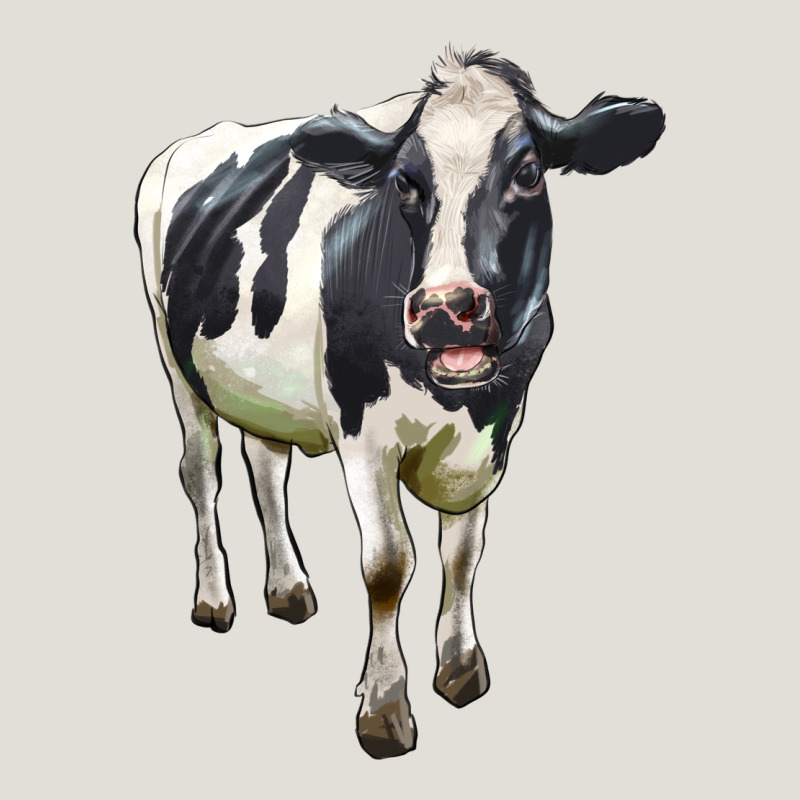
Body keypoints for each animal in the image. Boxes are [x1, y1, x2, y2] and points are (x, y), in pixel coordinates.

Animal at [135, 48, 664, 759]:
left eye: (527, 172)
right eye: (406, 183)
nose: (445, 308)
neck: (460, 403)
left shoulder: (494, 438)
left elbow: (463, 552)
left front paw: (460, 667)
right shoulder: (363, 433)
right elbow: (389, 564)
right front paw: (384, 707)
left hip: (261, 387)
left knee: (267, 469)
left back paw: (288, 588)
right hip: (175, 363)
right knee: (201, 475)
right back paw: (215, 598)